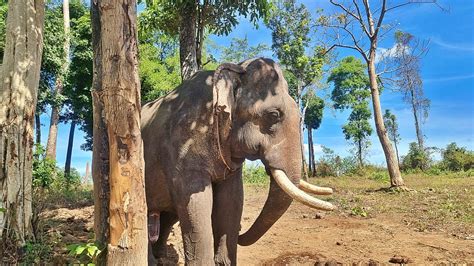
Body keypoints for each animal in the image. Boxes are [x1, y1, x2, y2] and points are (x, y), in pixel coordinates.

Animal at [141, 57, 334, 264]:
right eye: (273, 115)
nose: (242, 232)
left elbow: (232, 199)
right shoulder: (182, 145)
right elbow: (196, 204)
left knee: (168, 214)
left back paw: (160, 256)